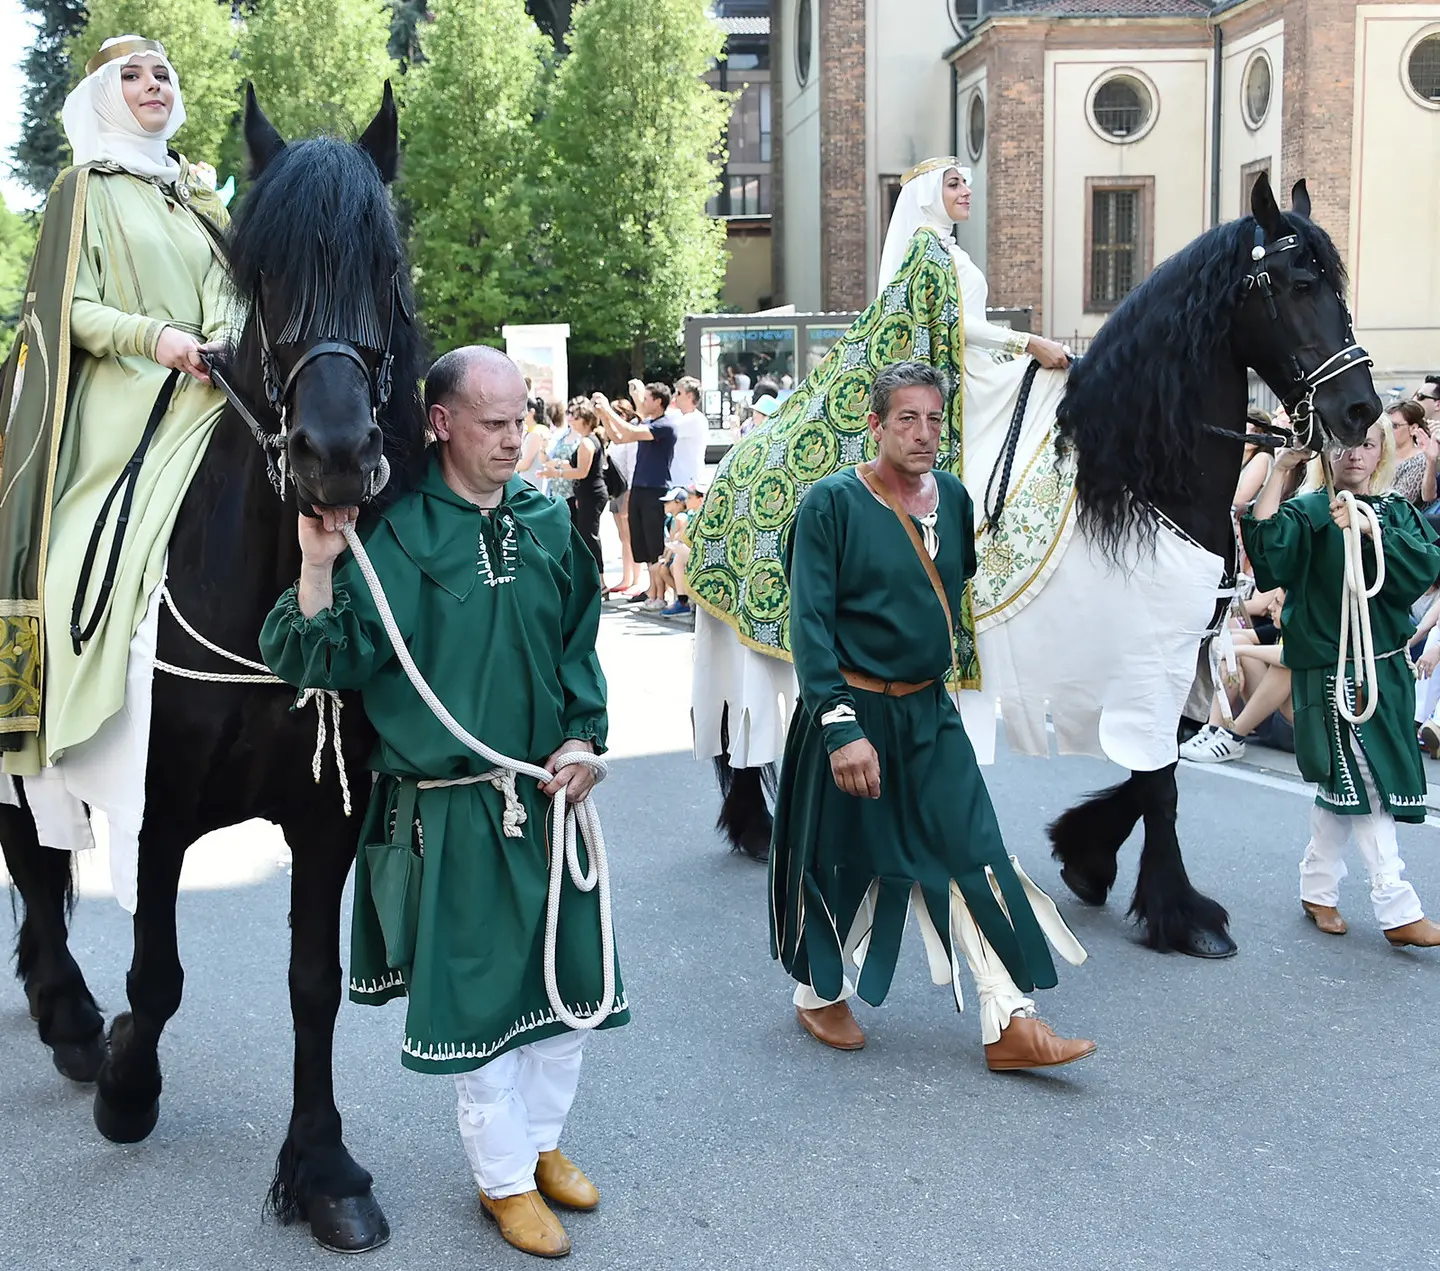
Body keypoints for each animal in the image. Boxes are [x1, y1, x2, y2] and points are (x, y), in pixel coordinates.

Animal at [0, 87, 423, 1255]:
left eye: (387, 260)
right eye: (263, 270)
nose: (335, 453)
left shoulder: (328, 815)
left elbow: (315, 984)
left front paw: (322, 1167)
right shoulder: (155, 805)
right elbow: (159, 973)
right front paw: (126, 1083)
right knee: (26, 853)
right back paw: (70, 1013)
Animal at [720, 174, 1382, 961]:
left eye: (1340, 287)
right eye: (1299, 285)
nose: (1362, 409)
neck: (1132, 475)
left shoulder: (1187, 657)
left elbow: (1157, 766)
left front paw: (1086, 854)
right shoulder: (1148, 659)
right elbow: (1160, 783)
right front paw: (1181, 912)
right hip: (750, 647)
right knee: (739, 730)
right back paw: (757, 827)